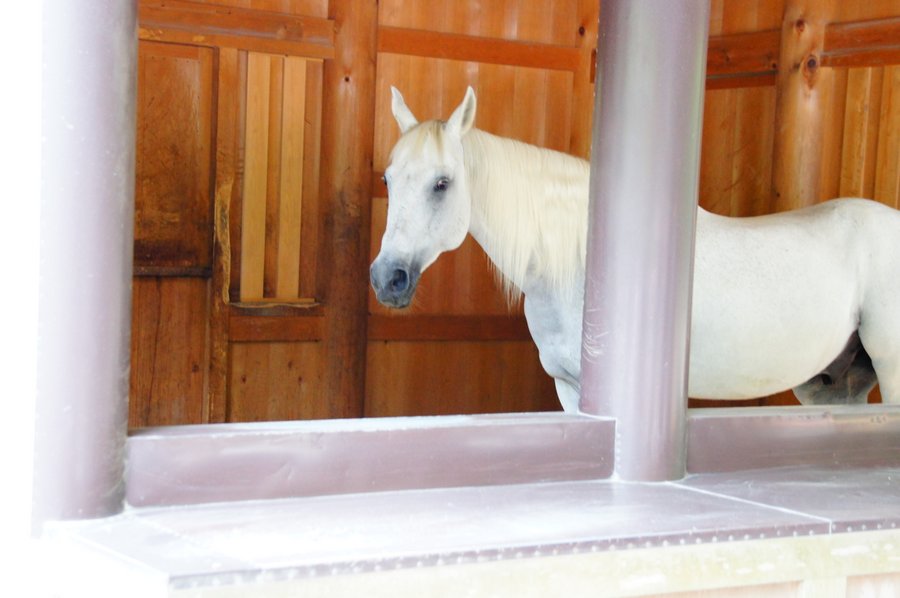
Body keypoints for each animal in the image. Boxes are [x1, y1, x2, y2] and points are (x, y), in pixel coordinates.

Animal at [370, 86, 900, 413]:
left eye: (442, 183)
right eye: (389, 180)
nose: (387, 279)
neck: (581, 266)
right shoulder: (569, 389)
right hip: (834, 388)